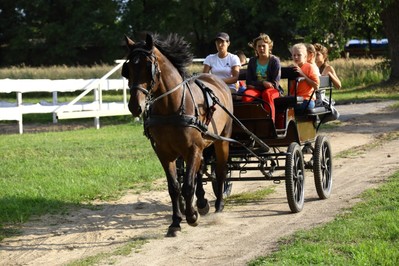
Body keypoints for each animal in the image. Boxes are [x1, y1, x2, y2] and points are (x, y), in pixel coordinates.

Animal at [122, 33, 234, 237]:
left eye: (148, 66)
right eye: (128, 69)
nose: (135, 106)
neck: (170, 108)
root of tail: (215, 79)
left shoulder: (193, 148)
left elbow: (187, 185)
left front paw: (191, 216)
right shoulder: (164, 153)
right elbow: (174, 187)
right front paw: (175, 222)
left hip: (221, 141)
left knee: (221, 171)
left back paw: (218, 204)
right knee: (199, 172)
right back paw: (202, 203)